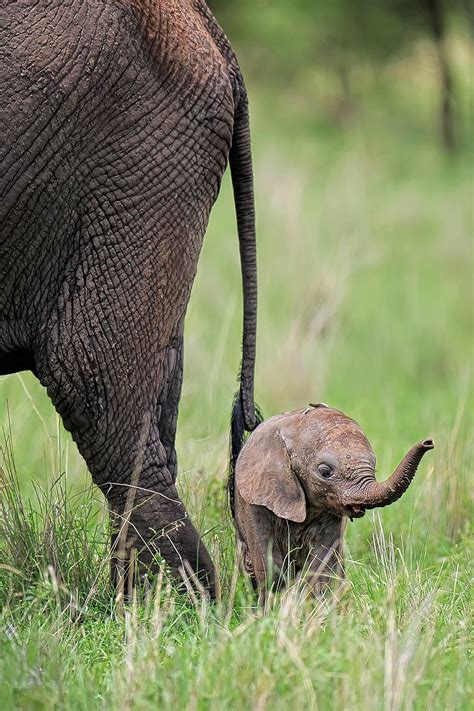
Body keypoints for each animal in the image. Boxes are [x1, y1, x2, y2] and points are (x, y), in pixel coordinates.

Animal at [230, 406, 434, 600]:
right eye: (325, 472)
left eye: (374, 466)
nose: (429, 442)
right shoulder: (257, 501)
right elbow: (272, 566)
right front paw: (272, 610)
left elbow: (323, 564)